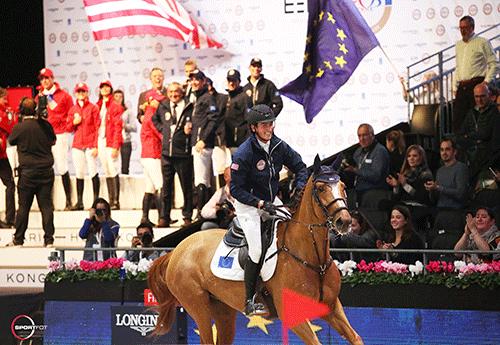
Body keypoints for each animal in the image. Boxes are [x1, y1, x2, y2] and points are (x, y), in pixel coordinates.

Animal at [148, 162, 364, 344]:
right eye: (320, 188)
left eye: (343, 185)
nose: (344, 221)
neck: (313, 259)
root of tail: (177, 249)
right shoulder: (294, 316)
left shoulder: (332, 307)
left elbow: (356, 338)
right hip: (197, 305)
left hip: (223, 310)